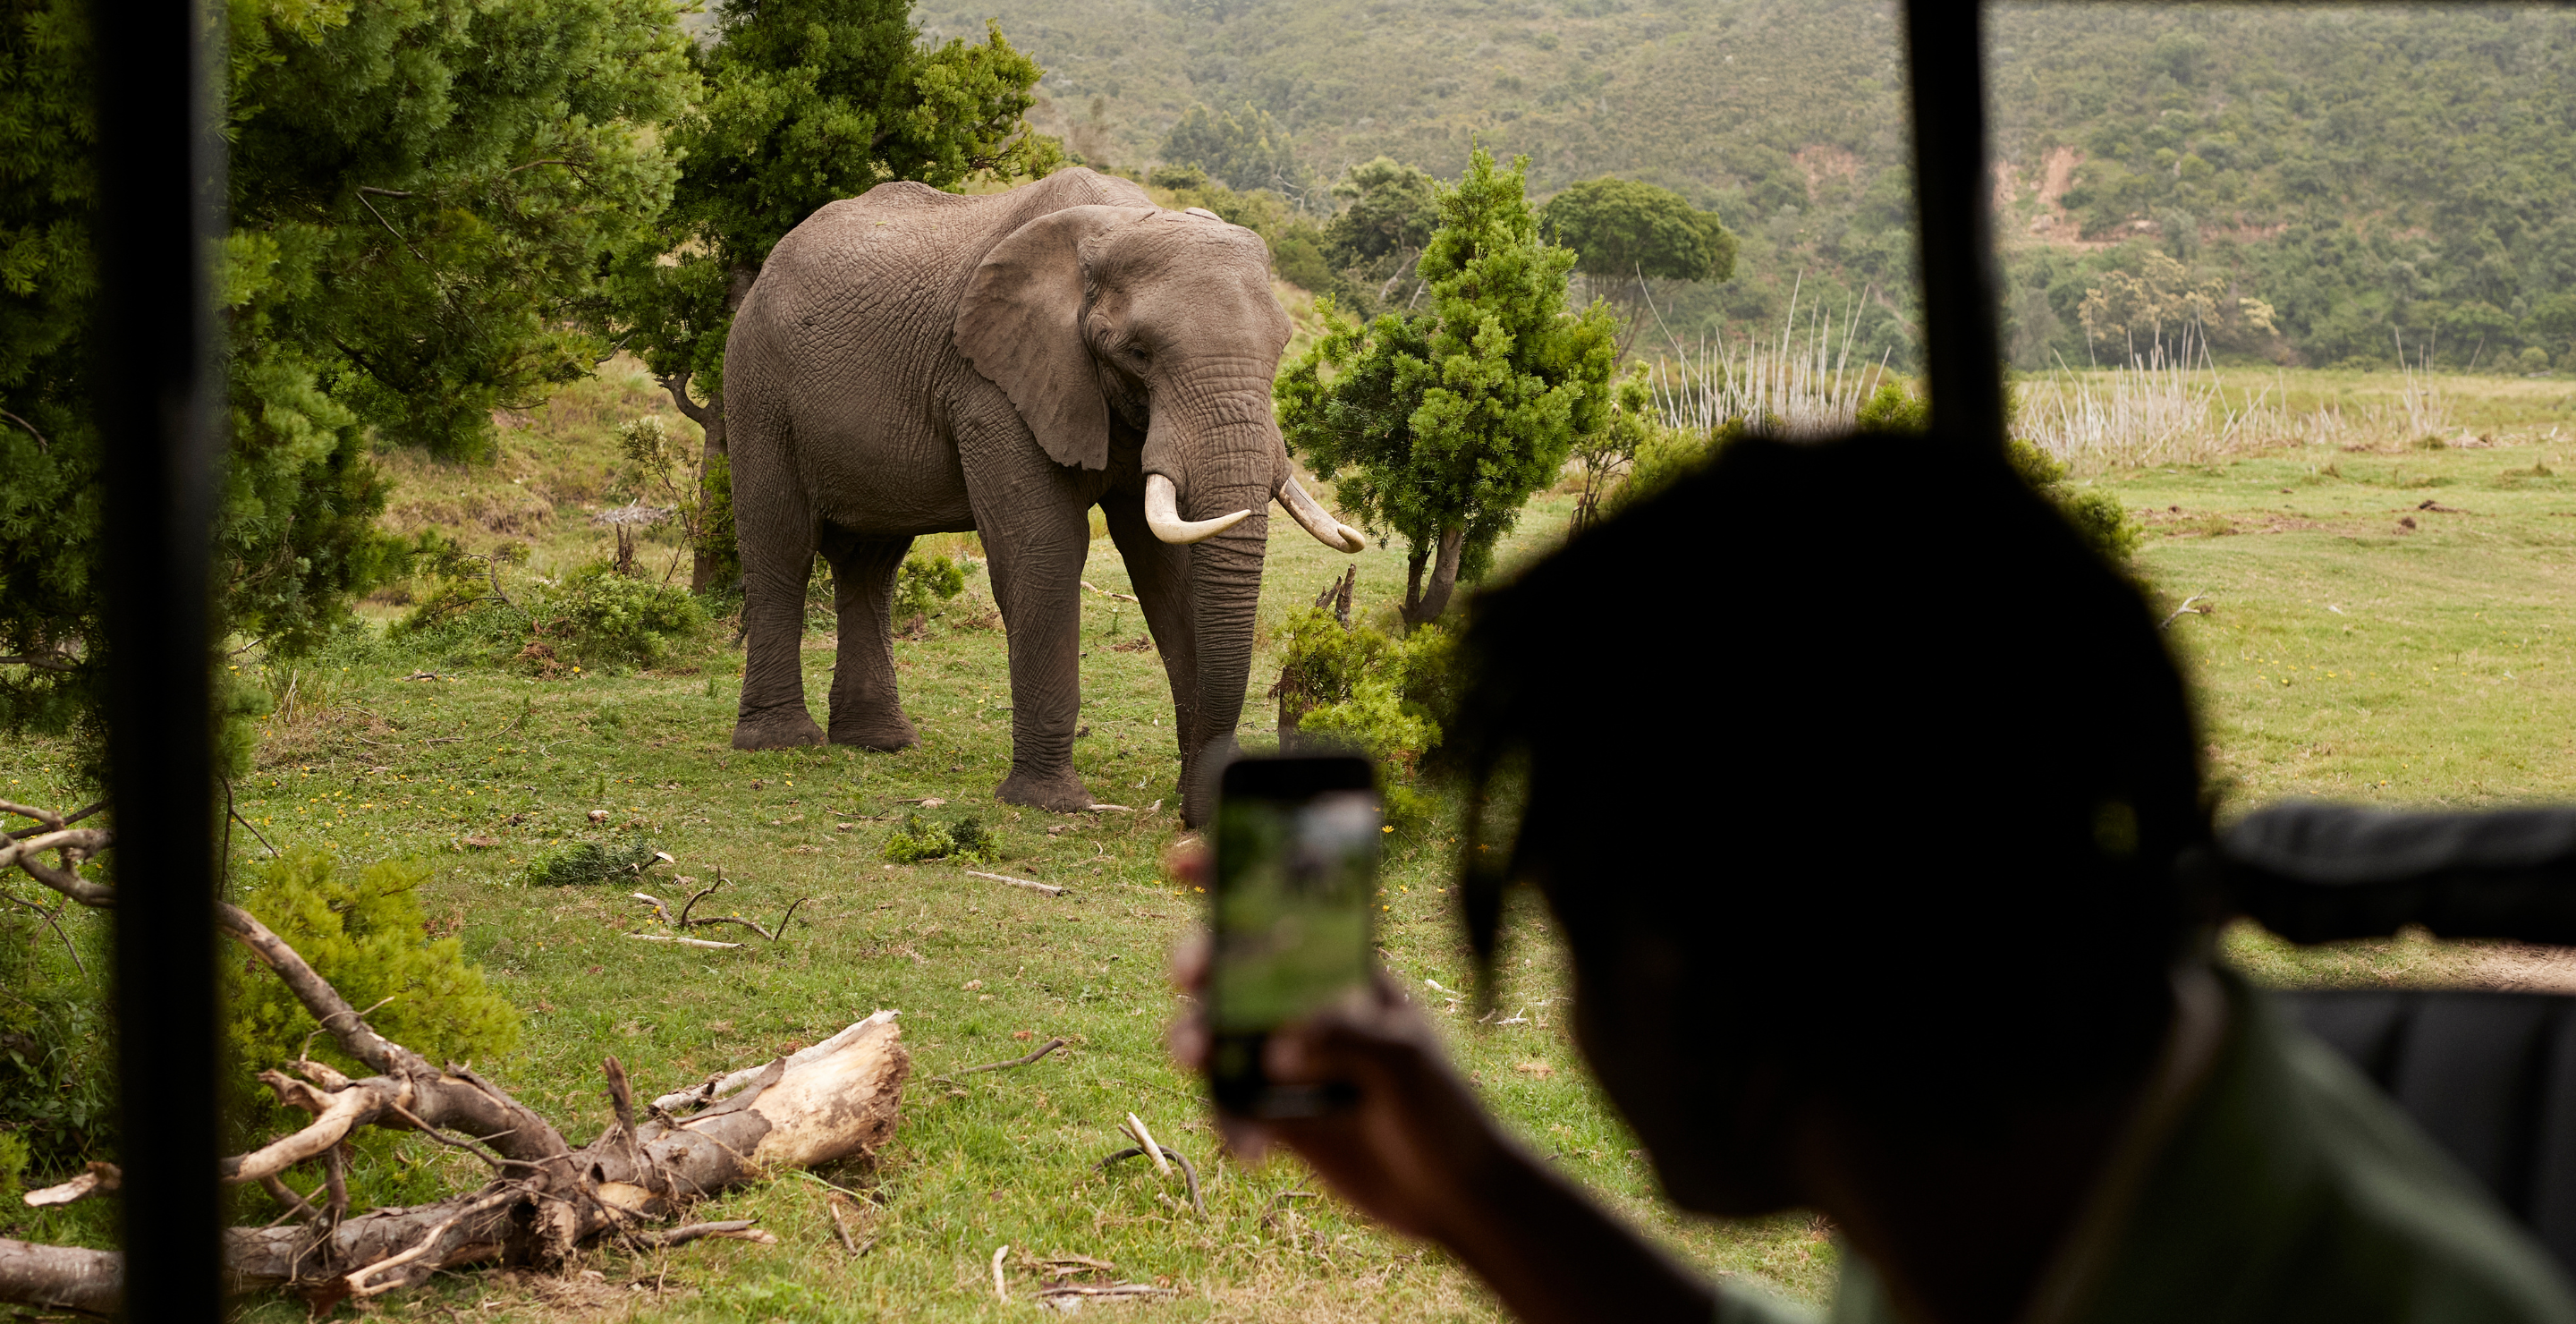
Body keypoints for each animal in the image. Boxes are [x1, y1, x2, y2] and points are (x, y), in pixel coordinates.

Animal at [722, 167, 1364, 825]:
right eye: (1138, 353)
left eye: (1281, 348)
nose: (1195, 815)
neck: (1118, 225)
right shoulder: (992, 383)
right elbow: (1045, 551)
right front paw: (1052, 805)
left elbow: (1168, 563)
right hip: (756, 383)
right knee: (782, 546)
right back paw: (781, 742)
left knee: (870, 565)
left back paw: (880, 743)